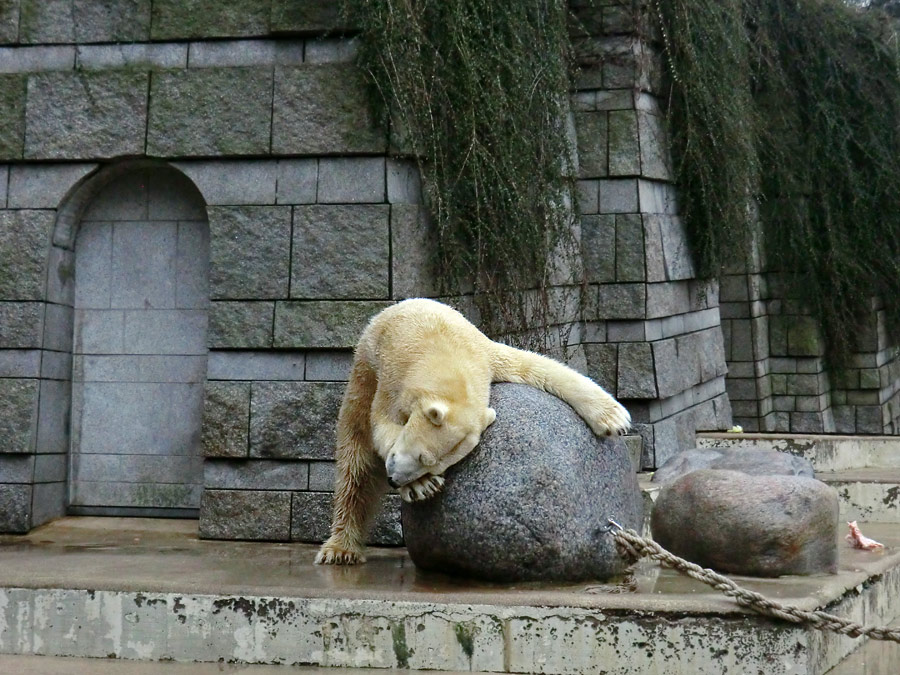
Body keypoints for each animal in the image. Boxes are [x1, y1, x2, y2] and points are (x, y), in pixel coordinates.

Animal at [316, 300, 632, 564]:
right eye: (423, 458)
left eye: (436, 463)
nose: (394, 480)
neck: (440, 354)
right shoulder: (393, 379)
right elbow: (381, 427)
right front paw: (422, 486)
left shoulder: (482, 355)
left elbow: (538, 368)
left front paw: (615, 419)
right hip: (363, 374)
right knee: (356, 463)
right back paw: (340, 550)